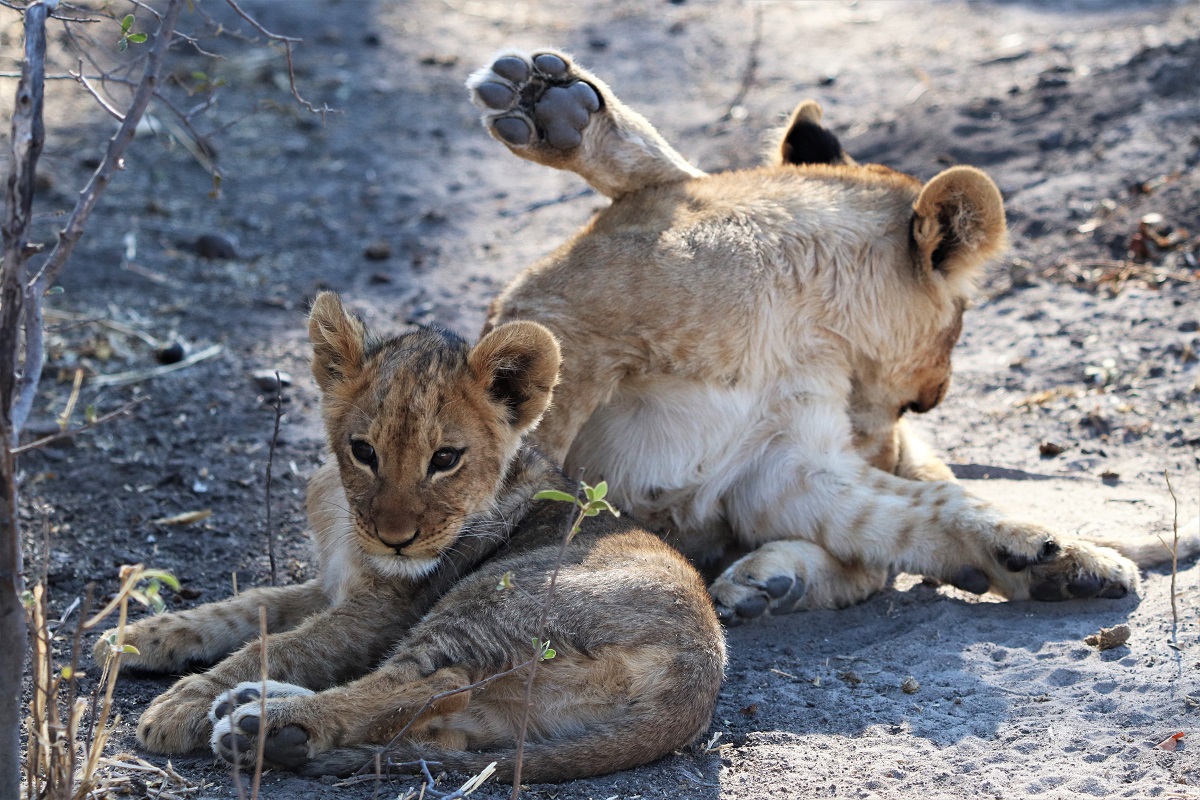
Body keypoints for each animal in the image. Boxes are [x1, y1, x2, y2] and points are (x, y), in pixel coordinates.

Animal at [97, 292, 724, 781]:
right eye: (363, 451)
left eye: (445, 459)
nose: (395, 539)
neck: (344, 515)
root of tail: (701, 669)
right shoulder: (330, 585)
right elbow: (247, 608)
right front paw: (136, 636)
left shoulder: (381, 610)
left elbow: (283, 645)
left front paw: (183, 703)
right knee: (442, 725)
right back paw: (266, 719)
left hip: (494, 600)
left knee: (434, 681)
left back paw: (265, 724)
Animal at [467, 49, 1187, 624]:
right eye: (952, 335)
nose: (929, 401)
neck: (796, 319)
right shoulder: (559, 318)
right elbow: (516, 451)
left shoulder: (782, 465)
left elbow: (926, 506)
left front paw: (1052, 556)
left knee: (885, 552)